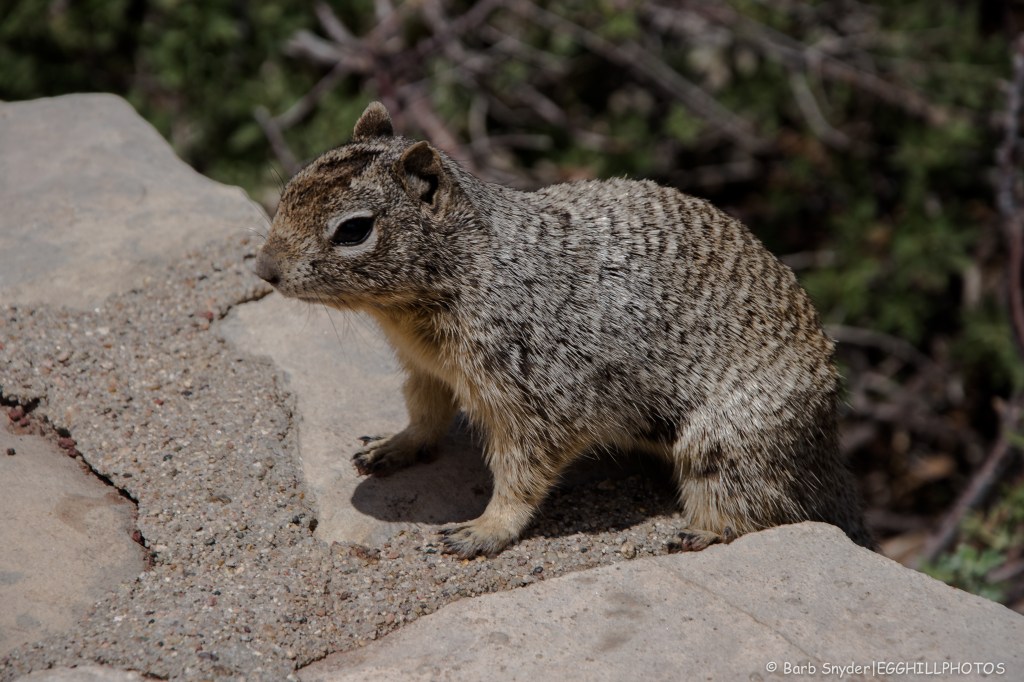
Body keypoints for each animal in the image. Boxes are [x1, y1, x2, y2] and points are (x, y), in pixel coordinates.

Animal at [254, 101, 874, 557]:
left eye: (354, 230)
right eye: (287, 192)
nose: (263, 270)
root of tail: (830, 452)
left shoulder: (539, 395)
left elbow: (522, 471)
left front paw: (483, 531)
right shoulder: (427, 368)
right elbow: (424, 412)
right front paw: (393, 445)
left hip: (726, 445)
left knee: (762, 507)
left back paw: (700, 531)